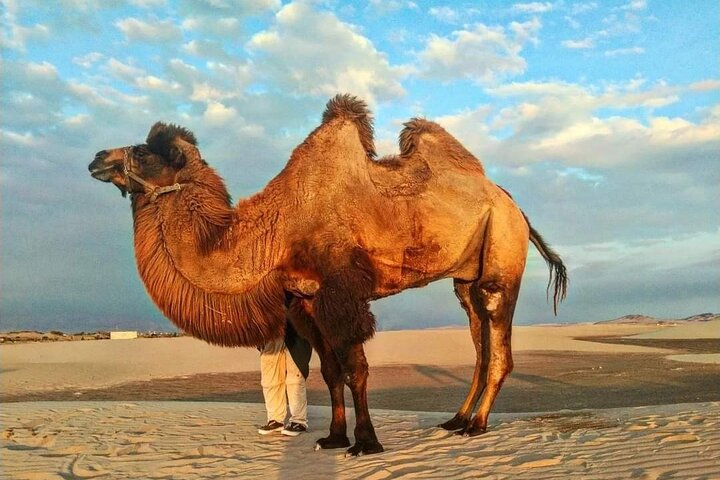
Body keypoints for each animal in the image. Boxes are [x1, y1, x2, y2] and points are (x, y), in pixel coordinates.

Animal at [88, 94, 567, 456]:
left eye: (143, 152)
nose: (96, 157)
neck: (280, 228)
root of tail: (512, 203)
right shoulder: (306, 300)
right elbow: (331, 373)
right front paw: (334, 438)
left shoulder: (342, 295)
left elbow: (356, 369)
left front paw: (367, 442)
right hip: (465, 278)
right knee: (479, 343)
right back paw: (456, 419)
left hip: (502, 252)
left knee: (497, 340)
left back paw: (477, 425)